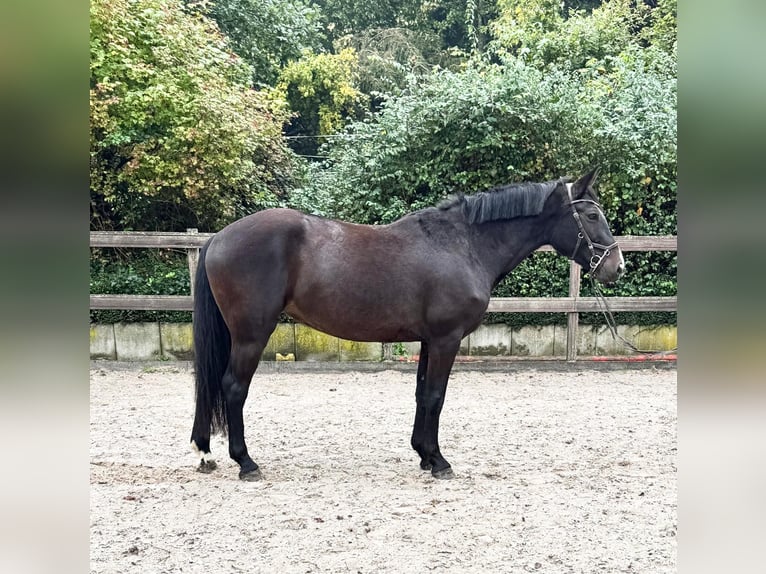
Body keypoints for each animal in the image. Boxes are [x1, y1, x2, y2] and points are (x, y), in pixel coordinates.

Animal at [190, 168, 624, 480]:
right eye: (591, 214)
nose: (616, 267)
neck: (463, 245)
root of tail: (219, 237)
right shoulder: (447, 339)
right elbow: (436, 396)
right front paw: (439, 461)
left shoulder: (429, 340)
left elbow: (421, 395)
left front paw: (423, 454)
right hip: (251, 334)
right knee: (233, 388)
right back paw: (246, 463)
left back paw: (207, 452)